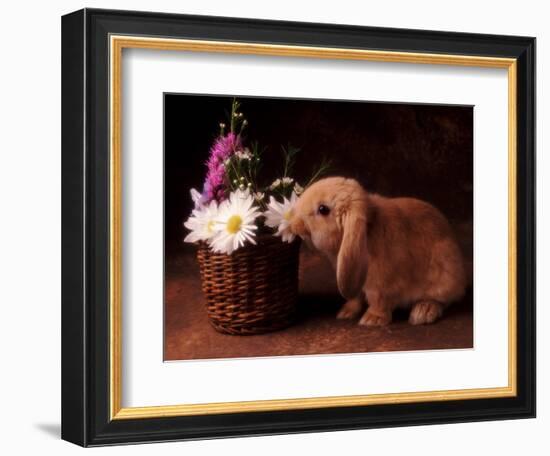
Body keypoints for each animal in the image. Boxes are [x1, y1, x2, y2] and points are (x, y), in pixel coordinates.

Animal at [292, 176, 468, 326]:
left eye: (323, 209)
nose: (294, 223)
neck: (368, 229)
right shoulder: (354, 277)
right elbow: (355, 297)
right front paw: (345, 312)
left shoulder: (381, 285)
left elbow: (378, 300)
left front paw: (371, 320)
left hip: (444, 275)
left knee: (443, 300)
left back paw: (422, 312)